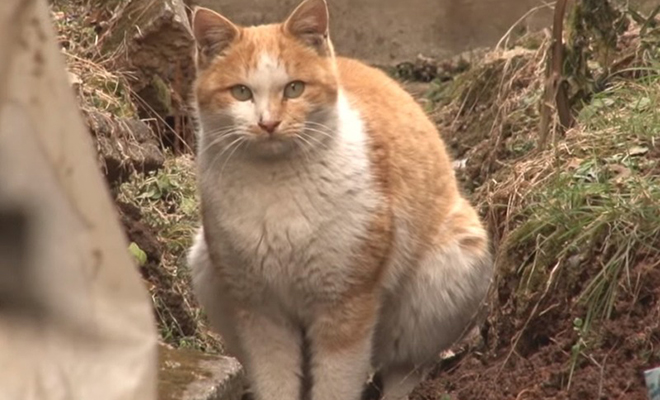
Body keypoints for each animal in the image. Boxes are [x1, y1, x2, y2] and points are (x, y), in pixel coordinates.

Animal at [188, 0, 492, 400]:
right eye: (241, 92)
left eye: (295, 88)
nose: (268, 123)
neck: (274, 185)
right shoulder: (260, 312)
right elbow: (275, 381)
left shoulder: (346, 305)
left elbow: (336, 384)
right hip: (205, 268)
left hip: (447, 273)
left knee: (406, 366)